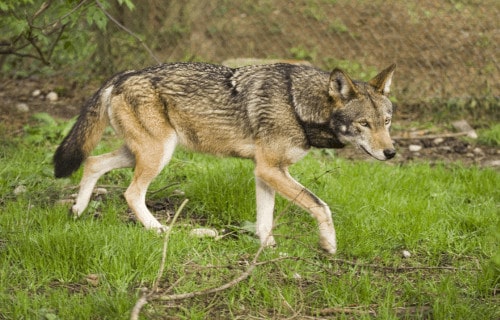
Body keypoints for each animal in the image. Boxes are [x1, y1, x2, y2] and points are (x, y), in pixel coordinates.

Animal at [54, 61, 396, 254]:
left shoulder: (265, 172)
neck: (297, 105)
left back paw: (78, 210)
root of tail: (122, 75)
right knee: (130, 192)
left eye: (387, 121)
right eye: (364, 124)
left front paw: (267, 250)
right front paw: (329, 245)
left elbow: (264, 221)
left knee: (92, 162)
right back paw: (158, 230)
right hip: (157, 156)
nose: (391, 152)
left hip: (143, 153)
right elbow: (321, 206)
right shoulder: (271, 169)